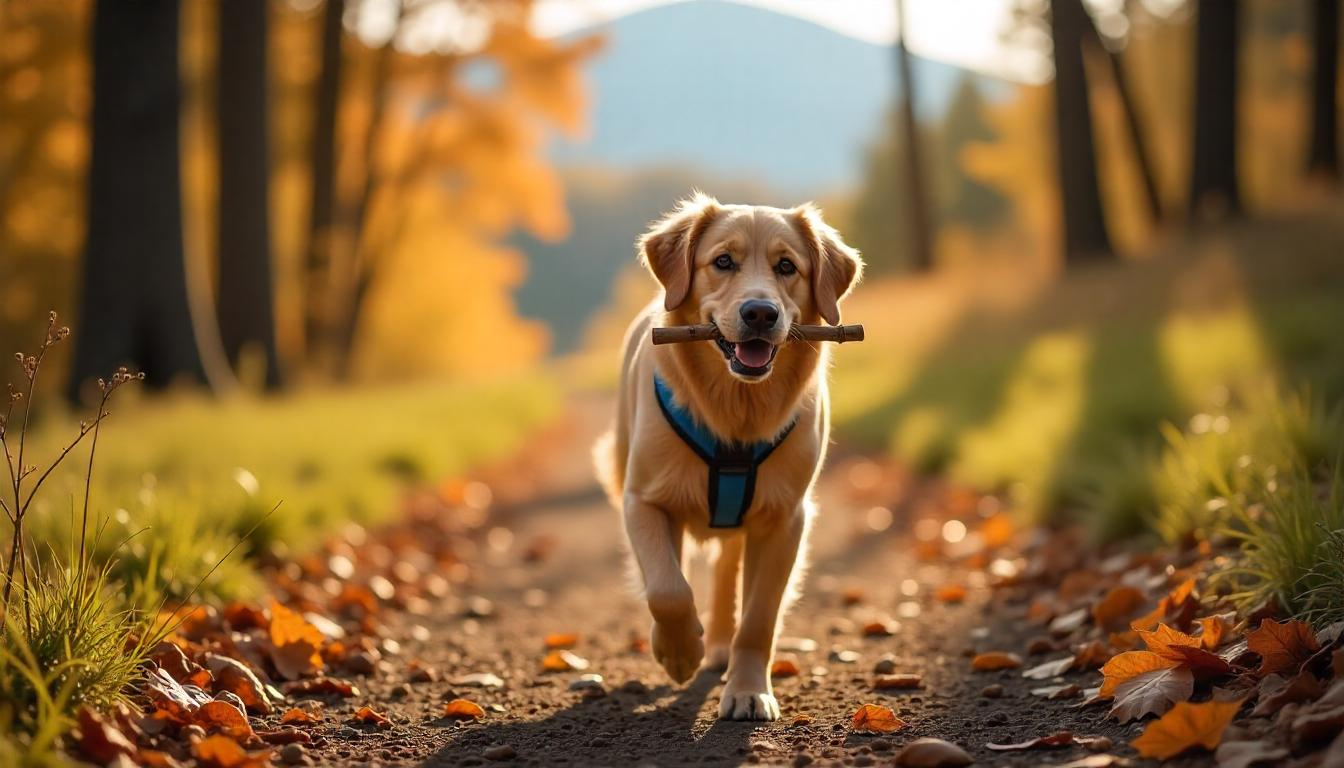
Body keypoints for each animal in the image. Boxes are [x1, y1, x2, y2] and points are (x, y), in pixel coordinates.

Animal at [596, 192, 865, 720]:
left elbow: (759, 617)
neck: (735, 410)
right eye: (723, 262)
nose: (760, 313)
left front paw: (747, 690)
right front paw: (679, 651)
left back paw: (719, 645)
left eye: (787, 267)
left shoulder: (785, 519)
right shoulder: (644, 501)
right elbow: (667, 589)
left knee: (725, 574)